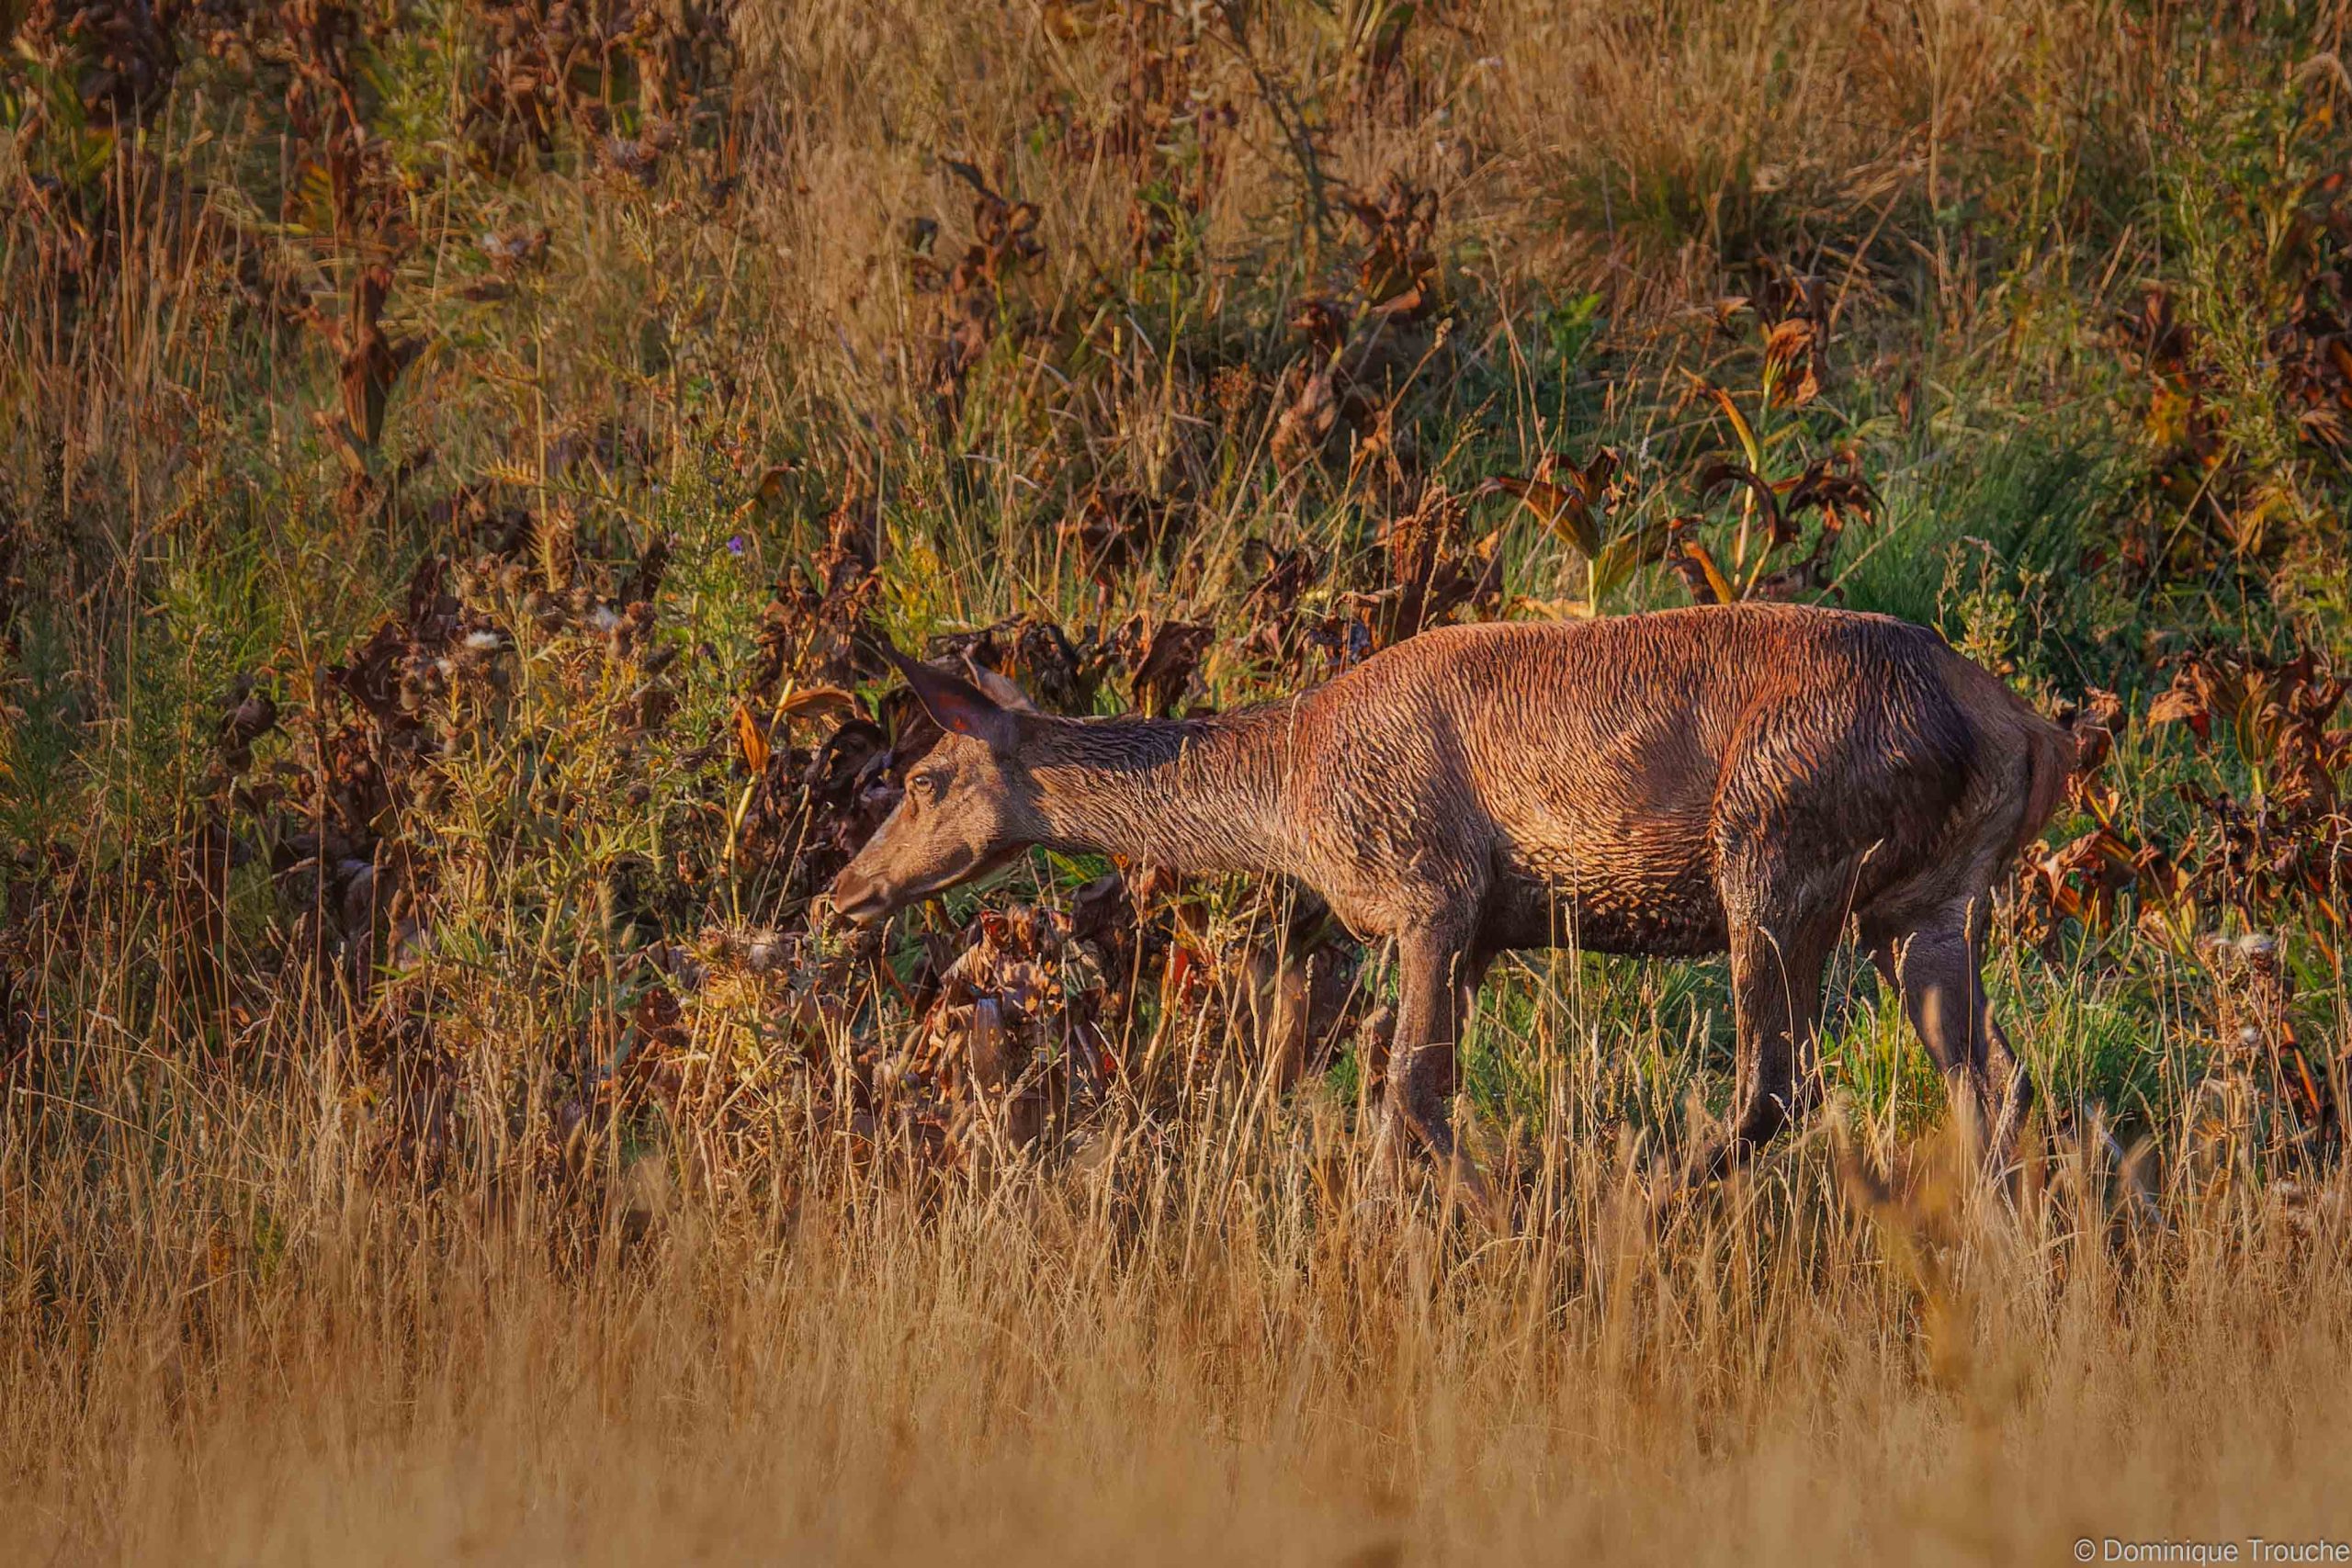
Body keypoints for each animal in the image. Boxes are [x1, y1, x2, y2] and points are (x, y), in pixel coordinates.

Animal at [825, 602, 2073, 1203]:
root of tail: (2029, 730)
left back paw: (1635, 1207)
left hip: (1772, 854)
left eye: (924, 778)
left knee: (1781, 1078)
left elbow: (1406, 1099)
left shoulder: (1429, 892)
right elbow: (1409, 1096)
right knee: (1995, 1080)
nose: (841, 895)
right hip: (1928, 904)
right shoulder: (1479, 932)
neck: (1294, 791)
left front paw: (1468, 1227)